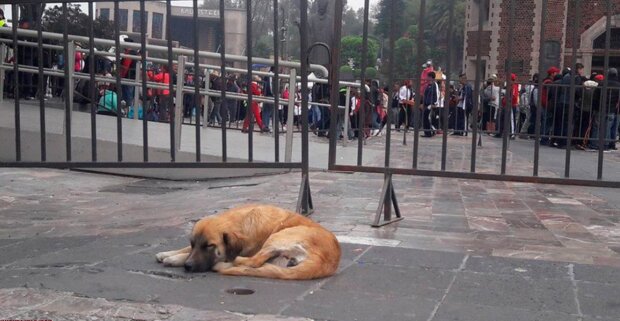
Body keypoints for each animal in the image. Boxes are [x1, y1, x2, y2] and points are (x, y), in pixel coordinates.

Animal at [153, 204, 342, 278]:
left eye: (210, 246)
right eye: (194, 244)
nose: (188, 266)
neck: (241, 223)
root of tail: (330, 260)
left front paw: (174, 259)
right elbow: (184, 249)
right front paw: (169, 253)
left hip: (279, 236)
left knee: (253, 262)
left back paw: (224, 264)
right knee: (258, 265)